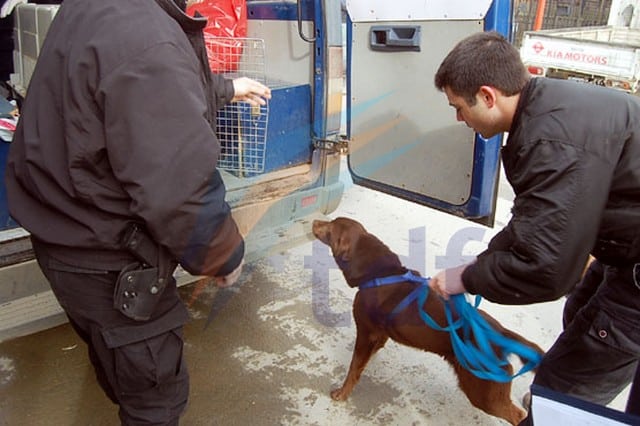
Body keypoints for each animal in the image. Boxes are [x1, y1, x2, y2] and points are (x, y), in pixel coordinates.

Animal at [312, 218, 544, 424]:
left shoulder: (366, 331)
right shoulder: (380, 333)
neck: (379, 273)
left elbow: (354, 368)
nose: (314, 221)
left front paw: (342, 393)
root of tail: (502, 334)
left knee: (518, 415)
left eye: (330, 226)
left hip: (485, 392)